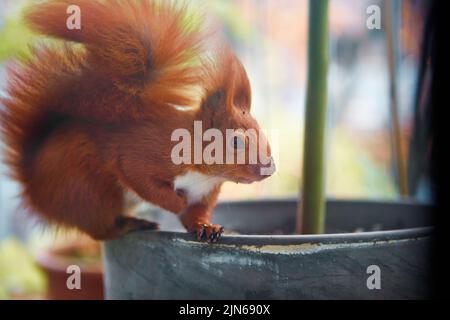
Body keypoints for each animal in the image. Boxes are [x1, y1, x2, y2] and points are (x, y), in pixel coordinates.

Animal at [0, 0, 274, 241]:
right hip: (90, 191)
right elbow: (139, 177)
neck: (204, 172)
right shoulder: (146, 153)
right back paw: (132, 225)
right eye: (236, 142)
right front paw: (176, 201)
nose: (269, 168)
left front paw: (207, 227)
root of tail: (34, 189)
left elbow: (194, 215)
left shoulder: (203, 193)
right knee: (100, 230)